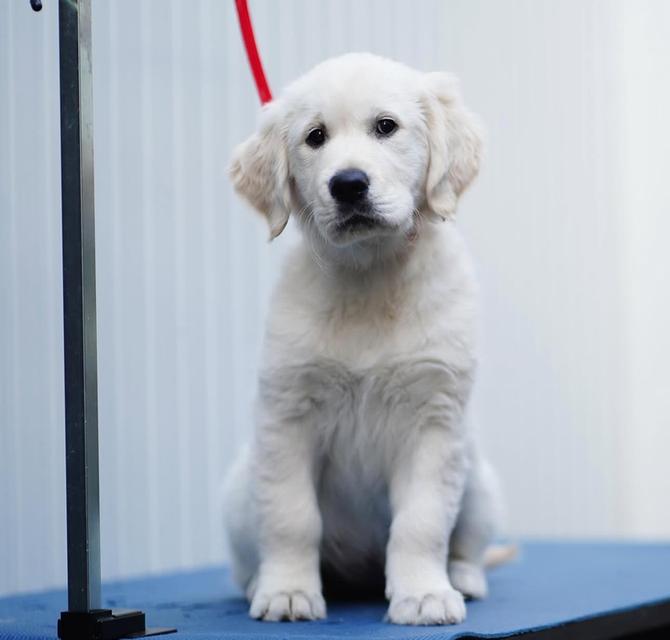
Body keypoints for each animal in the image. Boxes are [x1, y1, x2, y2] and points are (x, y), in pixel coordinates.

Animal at [226, 55, 504, 624]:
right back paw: (259, 582)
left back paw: (463, 580)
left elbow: (422, 522)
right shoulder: (287, 414)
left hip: (481, 484)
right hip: (238, 494)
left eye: (386, 127)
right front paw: (288, 591)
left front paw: (424, 595)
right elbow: (290, 516)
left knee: (468, 545)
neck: (370, 275)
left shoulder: (434, 420)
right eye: (315, 137)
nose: (348, 184)